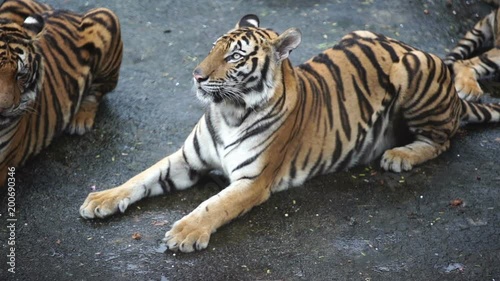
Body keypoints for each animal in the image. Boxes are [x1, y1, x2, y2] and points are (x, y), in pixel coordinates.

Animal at [0, 0, 123, 186]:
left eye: (20, 75)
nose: (5, 108)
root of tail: (64, 11)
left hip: (108, 16)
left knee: (98, 90)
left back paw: (80, 121)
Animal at [79, 14, 500, 252]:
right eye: (212, 48)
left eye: (234, 56)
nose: (196, 75)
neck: (229, 110)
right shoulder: (186, 160)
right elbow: (141, 177)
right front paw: (100, 199)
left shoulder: (251, 181)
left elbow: (212, 205)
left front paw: (184, 232)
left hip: (412, 71)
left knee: (443, 139)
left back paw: (400, 155)